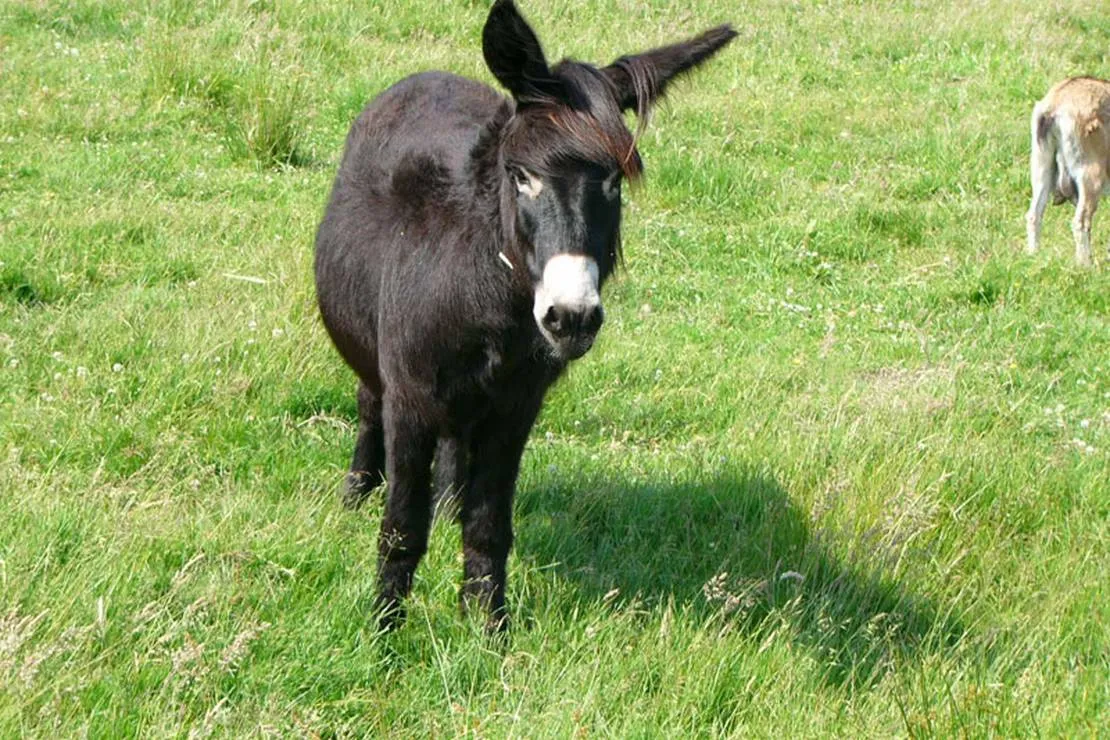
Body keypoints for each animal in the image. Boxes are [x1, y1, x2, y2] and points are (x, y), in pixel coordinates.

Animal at [314, 0, 735, 632]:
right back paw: (355, 497)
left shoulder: (516, 407)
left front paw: (487, 630)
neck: (490, 306)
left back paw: (448, 502)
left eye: (614, 181)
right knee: (369, 406)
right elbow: (402, 529)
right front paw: (384, 630)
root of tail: (428, 77)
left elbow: (489, 525)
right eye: (521, 176)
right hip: (376, 358)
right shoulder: (411, 395)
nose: (571, 317)